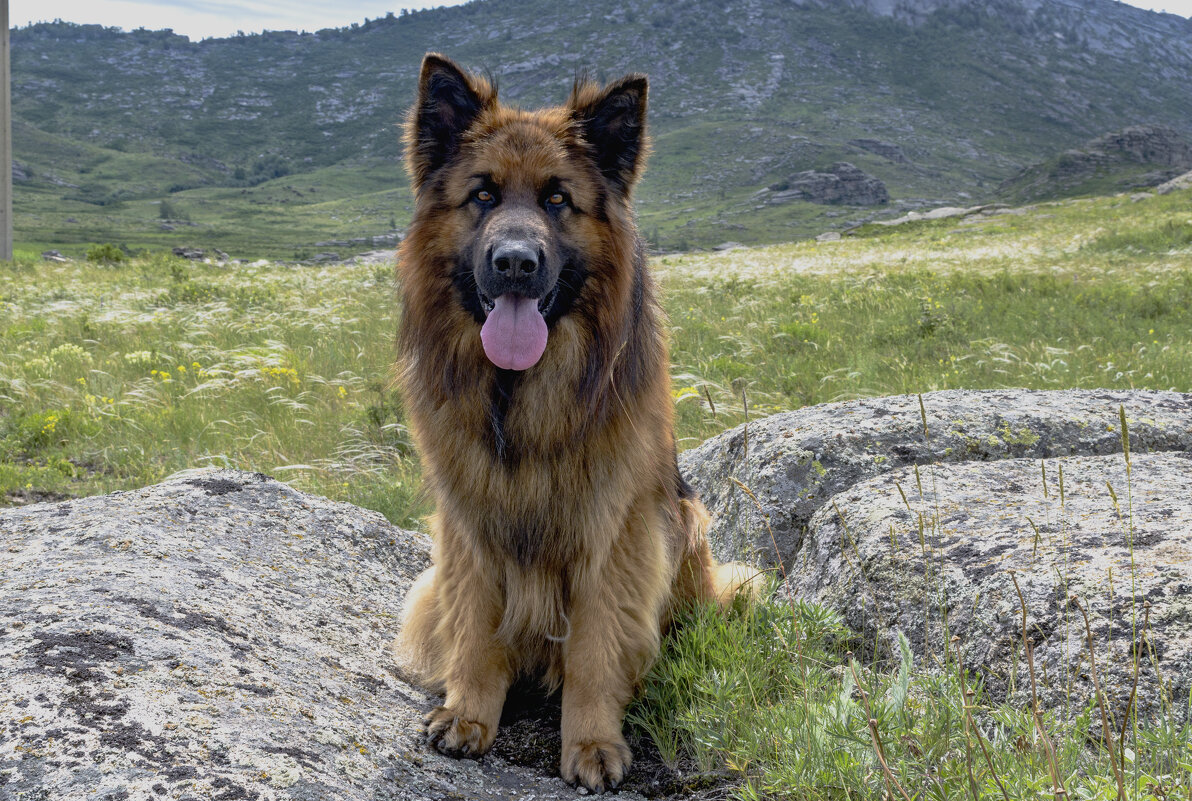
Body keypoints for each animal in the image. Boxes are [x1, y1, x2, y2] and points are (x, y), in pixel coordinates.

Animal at [395, 53, 758, 791]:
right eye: (482, 195)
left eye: (558, 199)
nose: (514, 263)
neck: (520, 394)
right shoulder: (468, 522)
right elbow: (474, 623)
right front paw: (469, 713)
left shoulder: (614, 530)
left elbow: (595, 647)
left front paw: (592, 742)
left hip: (687, 528)